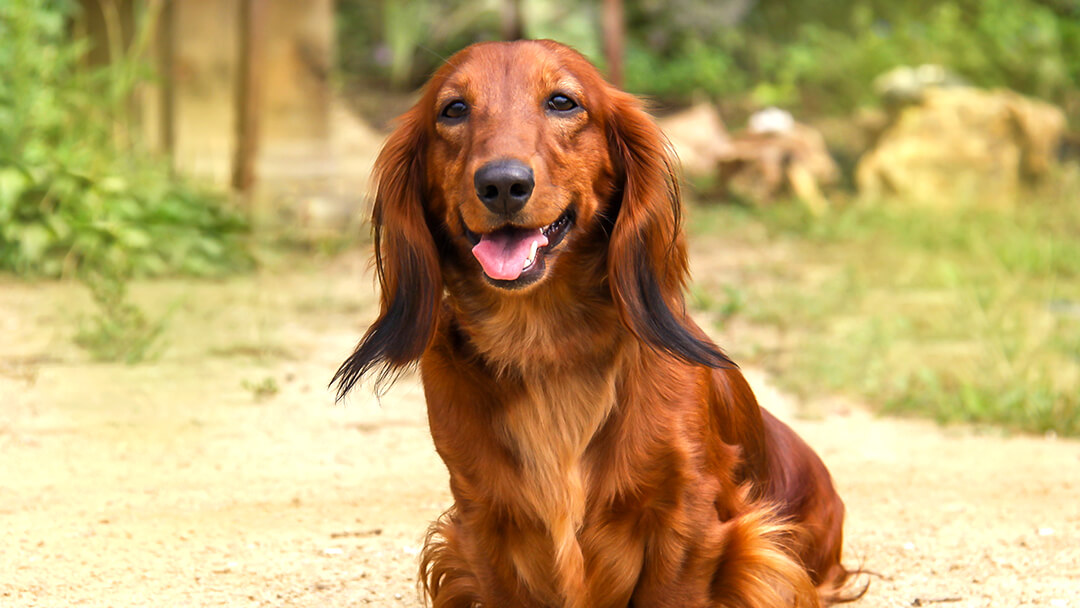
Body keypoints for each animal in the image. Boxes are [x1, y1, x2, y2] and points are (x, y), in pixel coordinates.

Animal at [332, 40, 855, 604]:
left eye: (563, 102)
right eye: (453, 110)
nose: (502, 184)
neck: (543, 344)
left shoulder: (691, 523)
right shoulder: (482, 523)